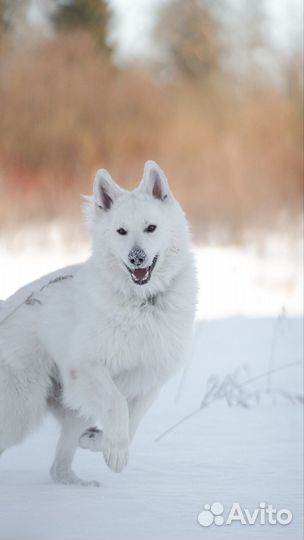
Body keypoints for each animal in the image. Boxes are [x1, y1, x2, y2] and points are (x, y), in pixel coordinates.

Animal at [0, 160, 197, 486]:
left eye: (151, 228)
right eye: (121, 231)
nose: (137, 257)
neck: (141, 303)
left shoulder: (149, 378)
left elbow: (132, 421)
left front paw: (97, 441)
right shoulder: (88, 368)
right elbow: (117, 406)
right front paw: (115, 452)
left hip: (63, 410)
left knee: (58, 468)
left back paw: (79, 484)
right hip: (22, 409)